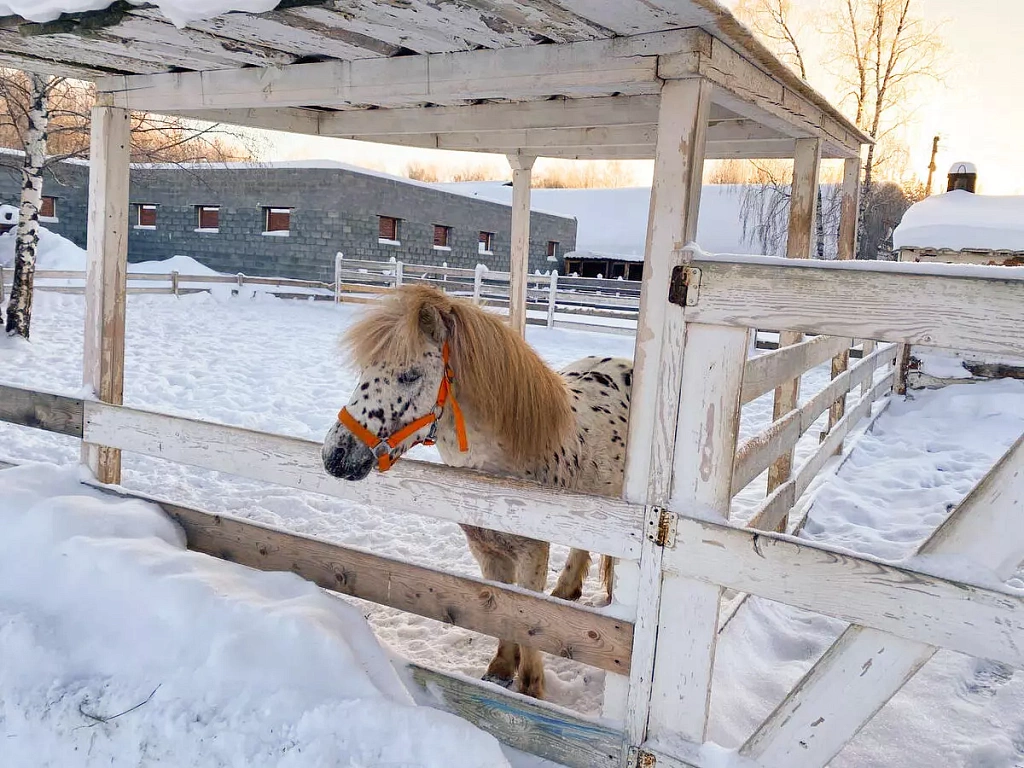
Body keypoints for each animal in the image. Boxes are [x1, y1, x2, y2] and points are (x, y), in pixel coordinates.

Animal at [323, 286, 630, 700]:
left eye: (409, 375)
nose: (335, 455)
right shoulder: (486, 550)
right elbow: (501, 611)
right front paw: (500, 669)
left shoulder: (532, 553)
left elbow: (528, 619)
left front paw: (530, 686)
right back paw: (566, 592)